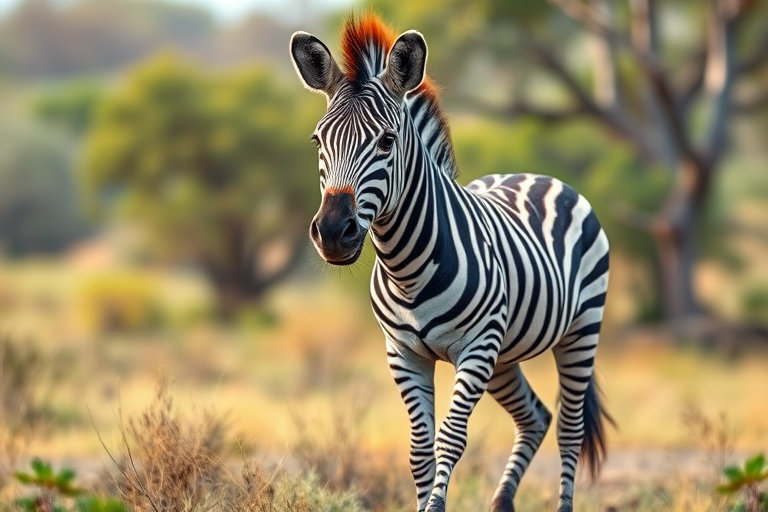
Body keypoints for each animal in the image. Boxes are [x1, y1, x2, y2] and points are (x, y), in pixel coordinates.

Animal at [289, 14, 614, 512]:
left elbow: (450, 440)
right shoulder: (403, 353)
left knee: (569, 428)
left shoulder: (476, 347)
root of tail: (537, 176)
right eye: (317, 140)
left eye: (386, 141)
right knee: (535, 416)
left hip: (579, 331)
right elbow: (420, 449)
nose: (331, 231)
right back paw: (501, 501)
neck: (406, 269)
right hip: (505, 355)